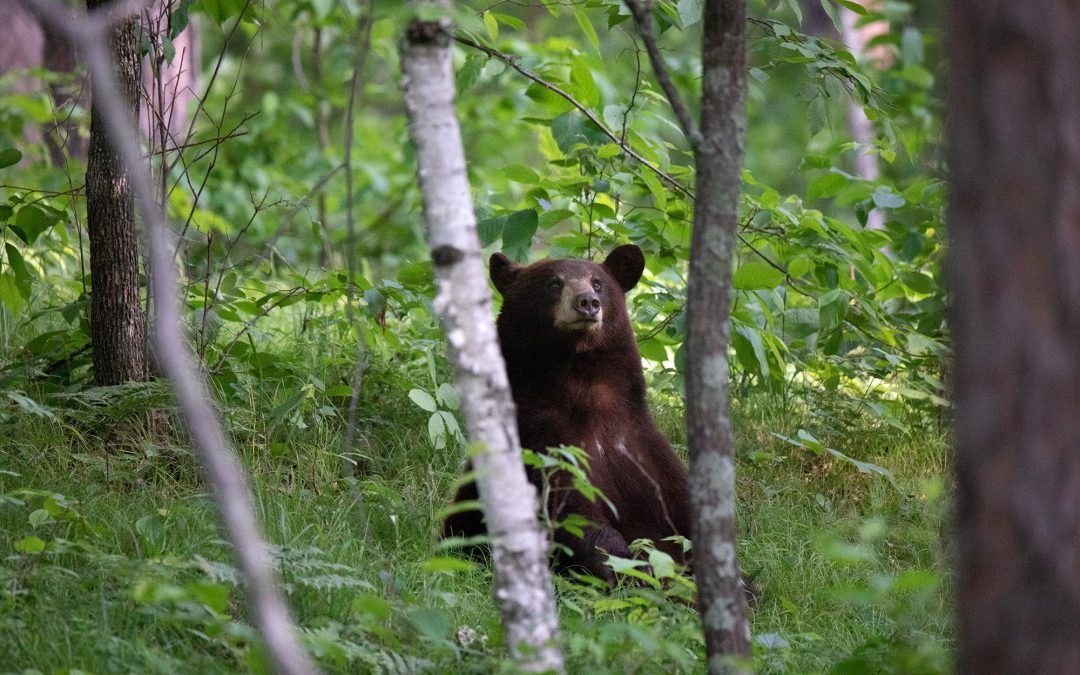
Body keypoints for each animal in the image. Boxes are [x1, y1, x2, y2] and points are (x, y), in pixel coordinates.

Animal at [444, 243, 691, 583]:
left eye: (597, 282)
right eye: (554, 283)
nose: (587, 302)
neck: (585, 389)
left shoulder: (640, 445)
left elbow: (679, 506)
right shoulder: (539, 438)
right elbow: (568, 506)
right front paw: (627, 567)